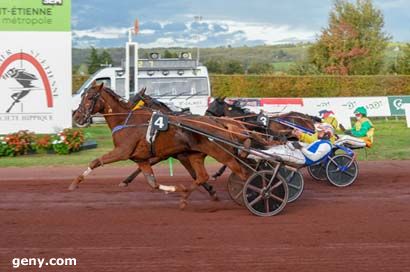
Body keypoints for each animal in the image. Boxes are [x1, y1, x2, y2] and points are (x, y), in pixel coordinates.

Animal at [71, 83, 266, 208]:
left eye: (90, 97)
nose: (77, 116)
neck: (125, 120)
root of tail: (219, 123)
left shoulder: (123, 151)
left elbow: (96, 161)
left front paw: (75, 182)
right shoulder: (143, 158)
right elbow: (153, 183)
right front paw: (176, 189)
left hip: (222, 153)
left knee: (244, 173)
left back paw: (258, 194)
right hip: (197, 154)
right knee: (202, 176)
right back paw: (185, 197)